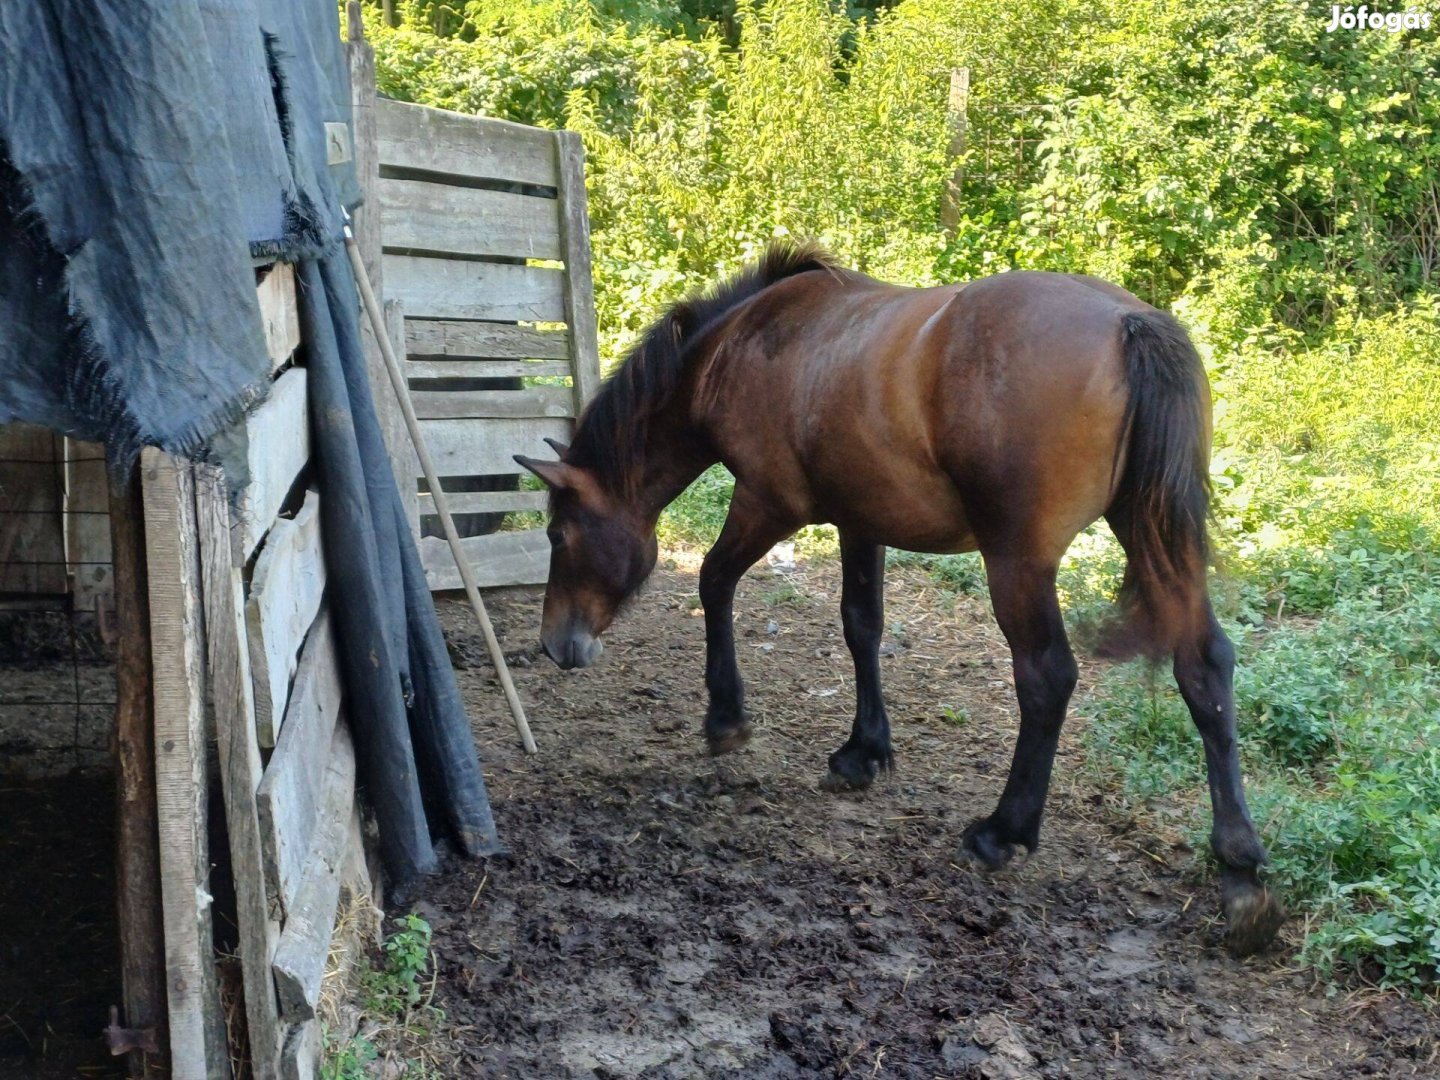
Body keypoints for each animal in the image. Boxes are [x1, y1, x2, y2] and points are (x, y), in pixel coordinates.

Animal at [518, 243, 1284, 956]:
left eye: (559, 532)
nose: (554, 643)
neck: (740, 347)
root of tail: (1130, 322)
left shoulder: (768, 503)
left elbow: (713, 581)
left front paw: (726, 718)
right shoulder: (861, 520)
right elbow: (861, 626)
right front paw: (864, 750)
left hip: (1020, 561)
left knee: (1047, 677)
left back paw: (1004, 830)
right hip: (1154, 535)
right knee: (1204, 668)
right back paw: (1240, 872)